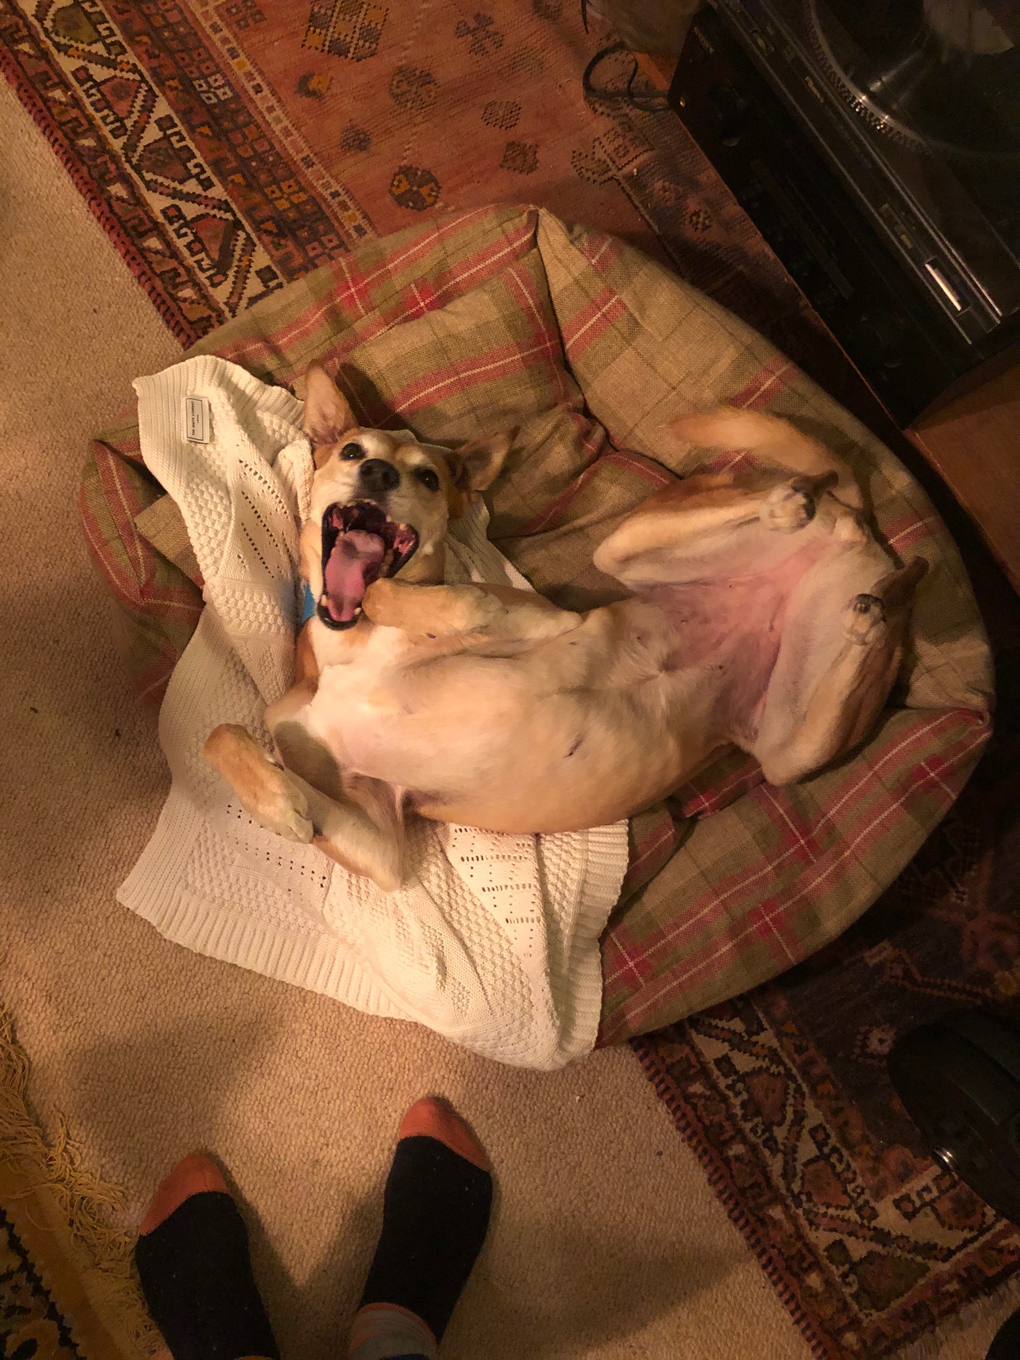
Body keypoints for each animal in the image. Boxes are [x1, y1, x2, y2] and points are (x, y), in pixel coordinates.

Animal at [205, 367, 924, 886]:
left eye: (429, 477)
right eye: (352, 449)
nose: (376, 472)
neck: (349, 644)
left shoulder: (542, 617)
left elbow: (423, 597)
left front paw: (395, 598)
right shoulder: (384, 847)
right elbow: (222, 736)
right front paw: (279, 805)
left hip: (629, 552)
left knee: (812, 504)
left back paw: (801, 508)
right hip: (781, 744)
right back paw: (873, 598)